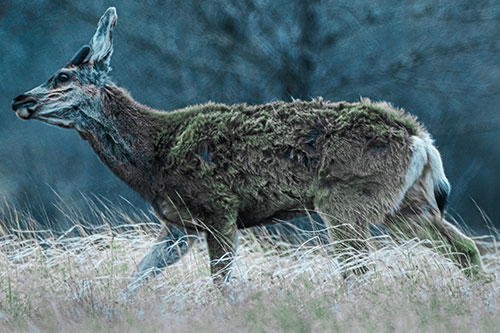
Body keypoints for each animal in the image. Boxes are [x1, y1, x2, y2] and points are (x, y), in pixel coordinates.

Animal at [10, 6, 480, 290]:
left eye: (63, 76)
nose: (19, 100)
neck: (153, 156)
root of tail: (421, 140)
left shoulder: (218, 209)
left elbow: (222, 286)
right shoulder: (180, 225)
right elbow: (136, 280)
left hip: (346, 202)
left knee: (360, 273)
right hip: (404, 204)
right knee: (465, 250)